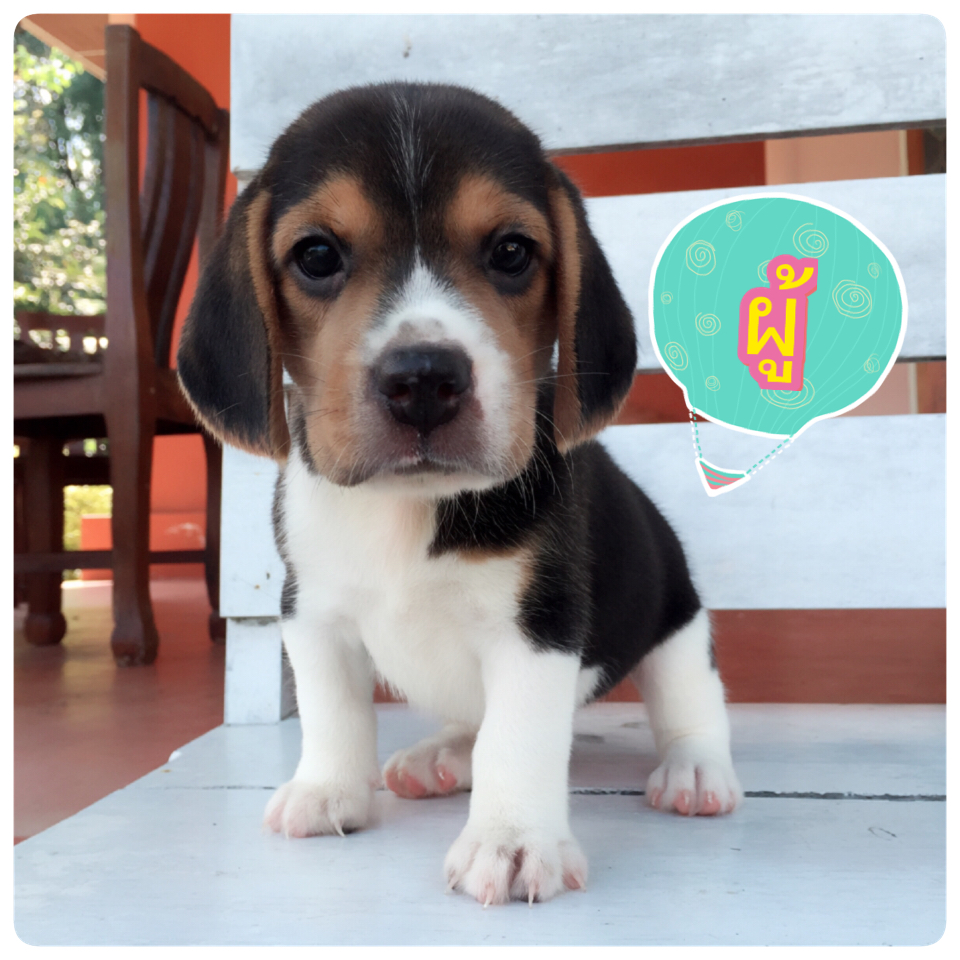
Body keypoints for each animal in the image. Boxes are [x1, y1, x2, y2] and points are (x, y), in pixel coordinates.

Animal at [177, 82, 742, 906]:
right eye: (316, 255)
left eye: (511, 252)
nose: (423, 379)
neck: (407, 505)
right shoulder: (310, 612)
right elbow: (332, 711)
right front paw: (326, 790)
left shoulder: (538, 629)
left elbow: (517, 740)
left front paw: (511, 841)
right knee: (470, 725)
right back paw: (441, 756)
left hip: (675, 617)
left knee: (689, 700)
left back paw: (696, 771)